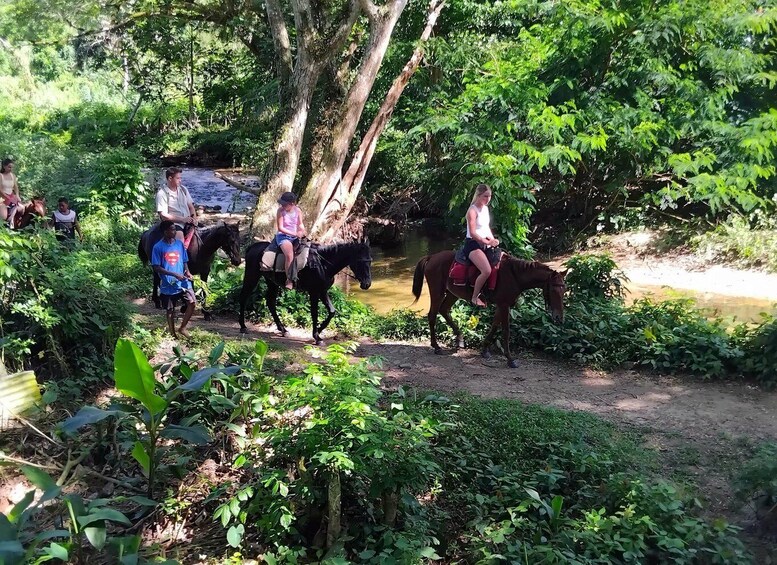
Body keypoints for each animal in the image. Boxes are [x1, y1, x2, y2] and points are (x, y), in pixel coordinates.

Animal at [239, 239, 372, 344]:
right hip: (252, 276)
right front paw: (317, 337)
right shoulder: (314, 292)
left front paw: (319, 330)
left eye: (370, 261)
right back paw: (243, 326)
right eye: (360, 261)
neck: (322, 264)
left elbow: (331, 311)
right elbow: (314, 313)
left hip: (272, 282)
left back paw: (283, 329)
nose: (367, 284)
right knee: (244, 297)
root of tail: (253, 247)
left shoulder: (322, 291)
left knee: (270, 302)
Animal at [410, 250, 568, 366]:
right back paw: (436, 346)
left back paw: (460, 339)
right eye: (553, 290)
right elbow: (505, 331)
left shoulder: (501, 305)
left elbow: (494, 325)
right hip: (437, 292)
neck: (515, 275)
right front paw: (510, 359)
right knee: (432, 315)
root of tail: (431, 257)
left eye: (564, 290)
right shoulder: (504, 305)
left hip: (452, 293)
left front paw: (485, 349)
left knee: (444, 310)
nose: (558, 317)